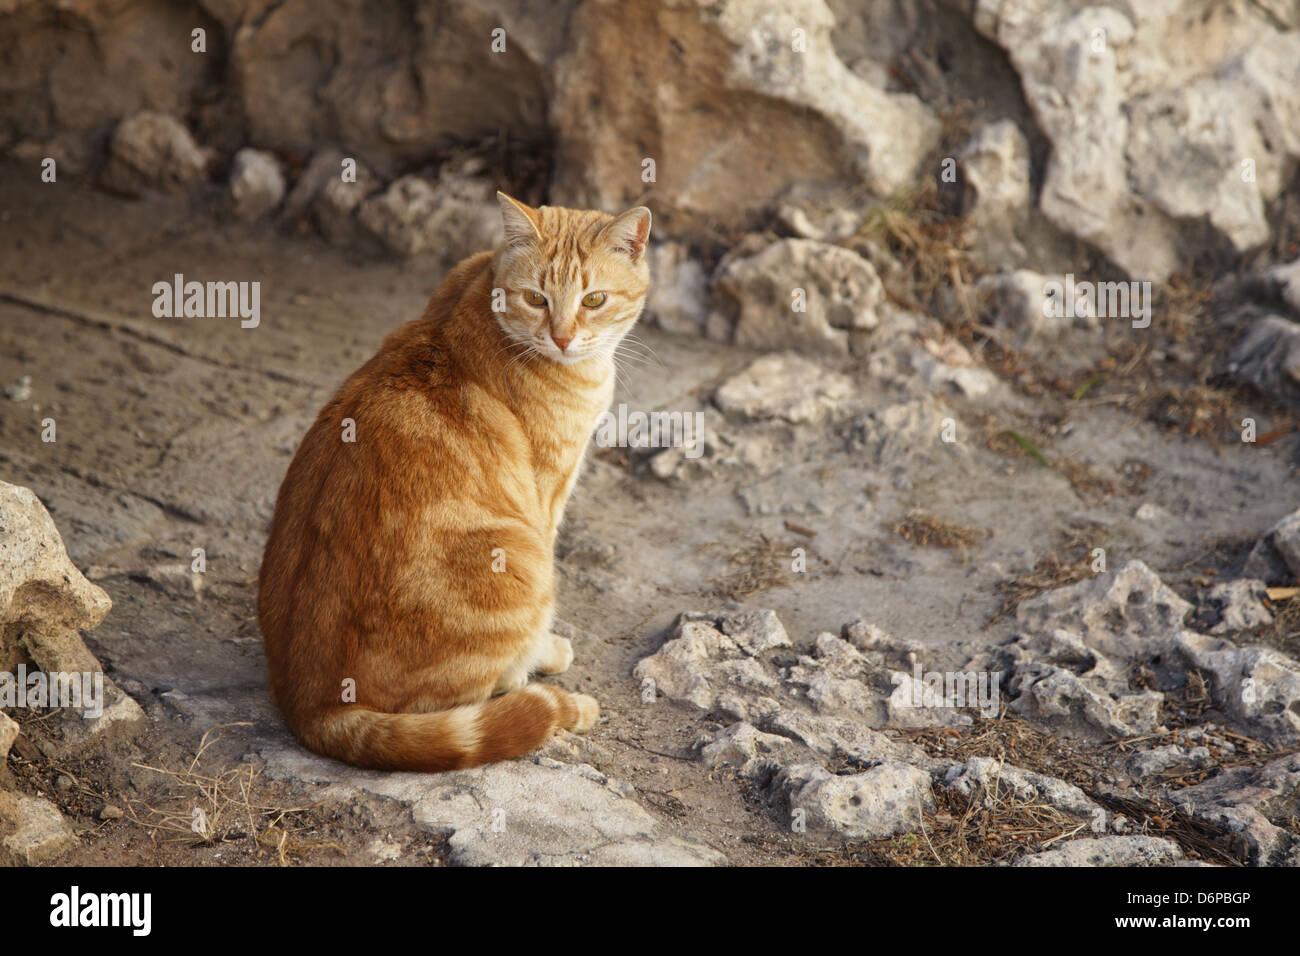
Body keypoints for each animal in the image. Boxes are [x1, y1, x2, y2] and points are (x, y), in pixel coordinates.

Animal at [258, 192, 650, 770]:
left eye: (594, 299)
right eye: (536, 298)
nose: (562, 338)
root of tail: (309, 705)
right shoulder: (546, 499)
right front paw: (544, 652)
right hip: (519, 559)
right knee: (471, 700)